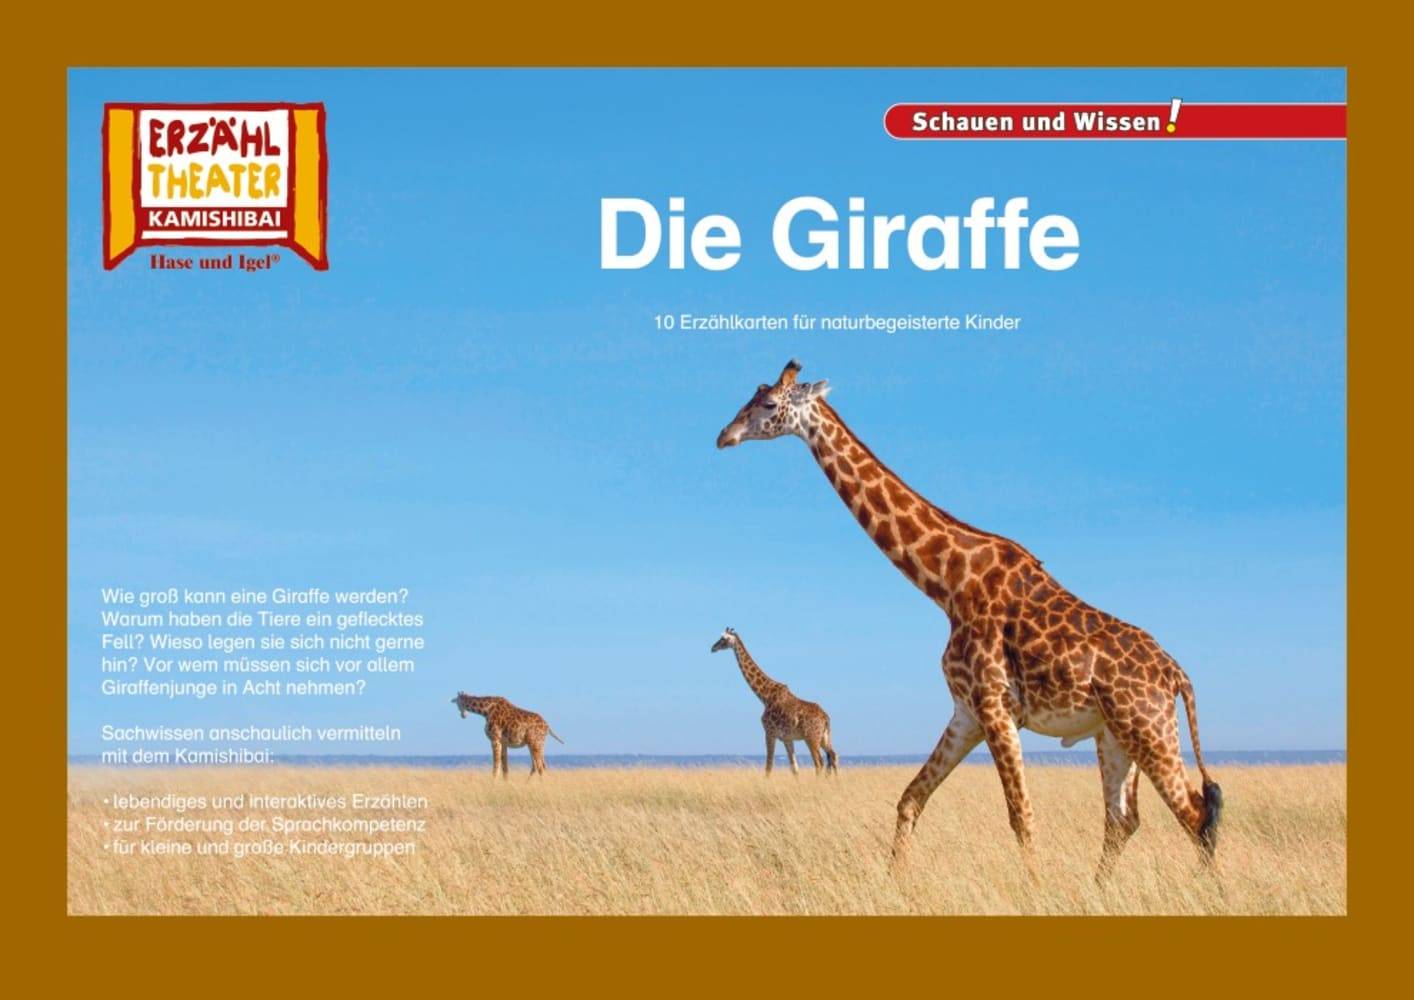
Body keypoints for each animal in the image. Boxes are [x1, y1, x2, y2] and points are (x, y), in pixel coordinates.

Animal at [711, 628, 839, 776]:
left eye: (724, 639)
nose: (713, 648)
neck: (764, 696)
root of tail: (825, 718)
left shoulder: (769, 733)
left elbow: (768, 767)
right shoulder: (787, 738)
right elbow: (794, 769)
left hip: (811, 738)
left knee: (819, 763)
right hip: (824, 737)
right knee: (833, 756)